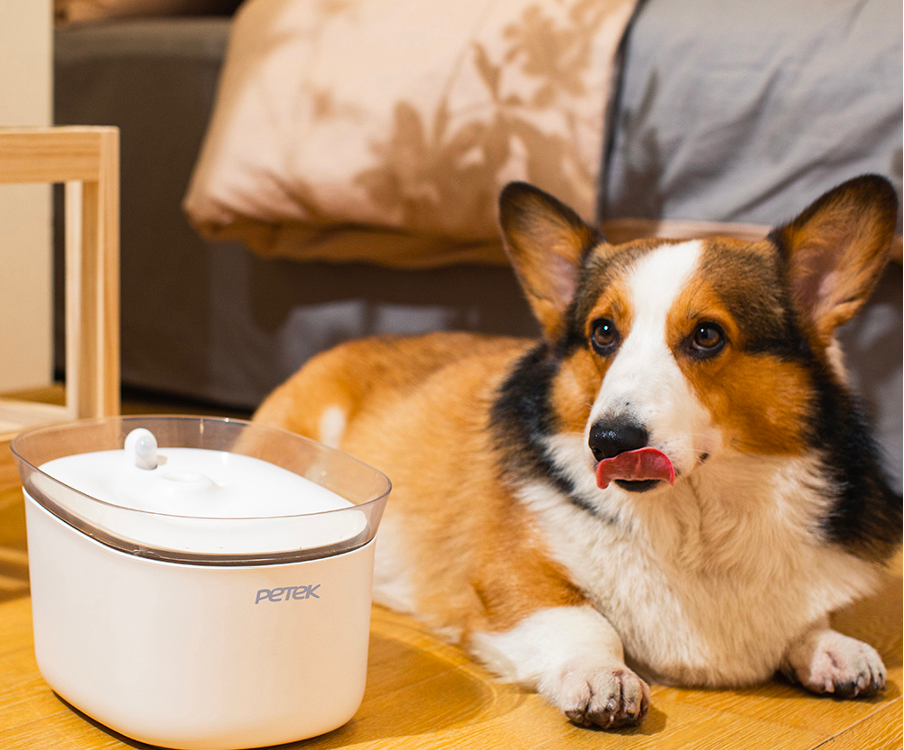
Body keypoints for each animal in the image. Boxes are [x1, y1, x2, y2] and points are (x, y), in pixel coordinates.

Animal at [254, 176, 904, 728]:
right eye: (602, 333)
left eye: (707, 335)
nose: (608, 441)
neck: (697, 522)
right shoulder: (515, 577)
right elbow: (584, 621)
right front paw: (602, 675)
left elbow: (805, 617)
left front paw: (832, 647)